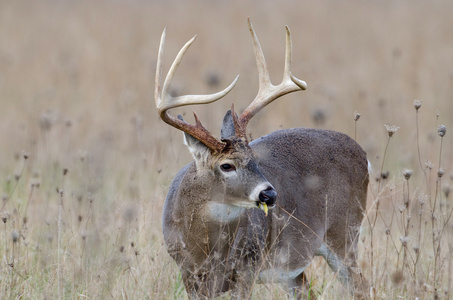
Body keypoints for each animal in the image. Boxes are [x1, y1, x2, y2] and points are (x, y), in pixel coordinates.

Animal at [154, 19, 368, 298]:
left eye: (255, 158)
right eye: (226, 165)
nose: (270, 194)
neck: (204, 246)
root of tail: (363, 154)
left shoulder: (248, 266)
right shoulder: (188, 272)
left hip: (344, 232)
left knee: (362, 285)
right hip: (295, 263)